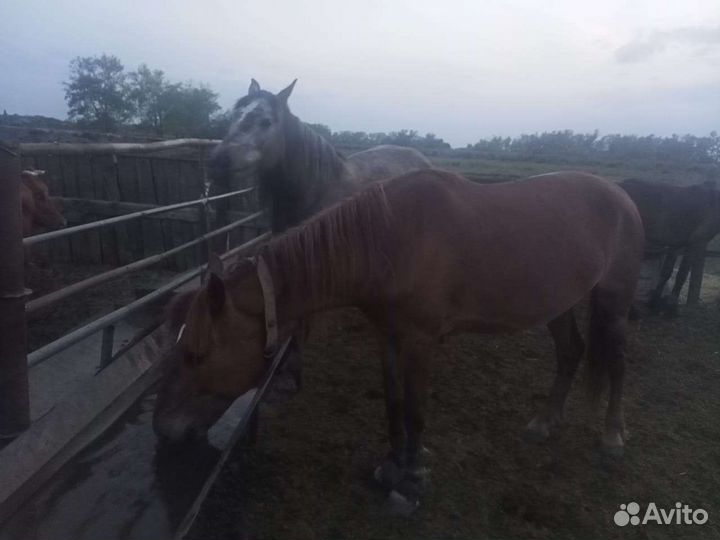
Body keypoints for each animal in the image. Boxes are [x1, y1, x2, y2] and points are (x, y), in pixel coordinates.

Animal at [153, 169, 644, 512]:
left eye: (195, 354)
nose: (164, 431)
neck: (389, 239)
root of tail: (621, 194)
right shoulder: (386, 335)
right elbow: (393, 404)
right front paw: (392, 466)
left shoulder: (420, 342)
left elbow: (415, 410)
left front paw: (412, 479)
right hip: (559, 303)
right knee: (570, 353)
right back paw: (545, 423)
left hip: (614, 299)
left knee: (618, 364)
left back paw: (613, 438)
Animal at [619, 178, 720, 314]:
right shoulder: (696, 242)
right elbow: (682, 273)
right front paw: (671, 306)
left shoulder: (675, 244)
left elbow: (666, 272)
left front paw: (655, 302)